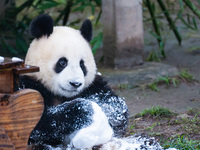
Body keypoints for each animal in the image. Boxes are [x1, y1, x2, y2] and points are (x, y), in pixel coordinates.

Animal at [19, 14, 129, 149]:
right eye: (62, 62)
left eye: (82, 64)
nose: (75, 84)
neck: (62, 95)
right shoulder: (31, 84)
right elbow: (34, 120)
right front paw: (84, 110)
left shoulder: (93, 85)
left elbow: (116, 106)